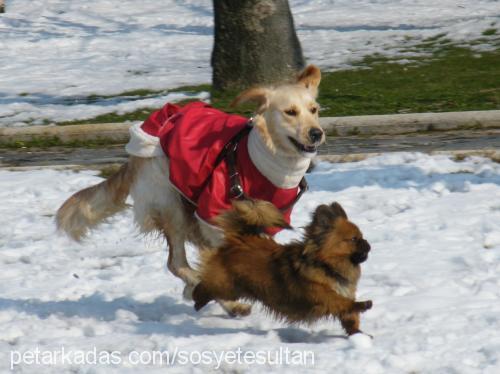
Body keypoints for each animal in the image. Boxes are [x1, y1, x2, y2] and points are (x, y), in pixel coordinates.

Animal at [193, 200, 374, 334]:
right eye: (354, 239)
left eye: (362, 237)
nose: (368, 243)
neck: (326, 266)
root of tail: (238, 239)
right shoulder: (322, 295)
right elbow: (342, 302)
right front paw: (364, 304)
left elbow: (350, 318)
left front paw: (359, 335)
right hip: (227, 286)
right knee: (205, 286)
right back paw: (197, 298)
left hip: (235, 288)